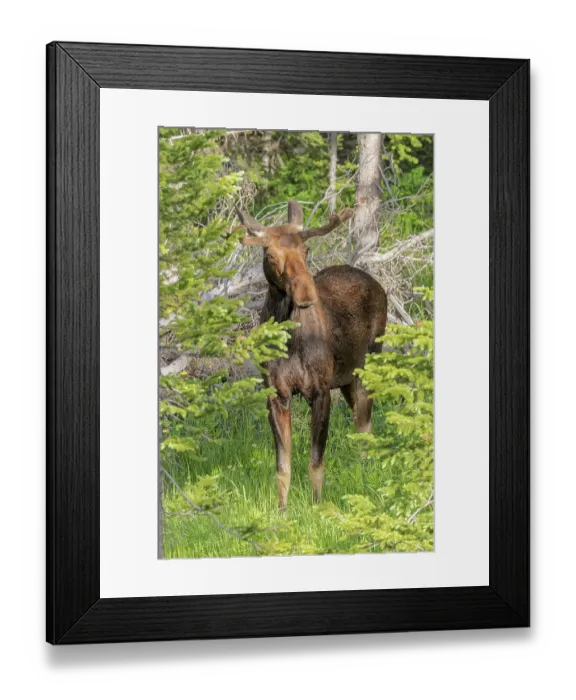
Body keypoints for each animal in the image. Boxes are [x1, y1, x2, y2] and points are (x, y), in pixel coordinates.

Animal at [237, 200, 388, 512]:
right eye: (270, 254)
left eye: (306, 250)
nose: (306, 293)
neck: (290, 341)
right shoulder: (276, 394)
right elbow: (282, 466)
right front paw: (282, 511)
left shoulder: (319, 391)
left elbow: (316, 461)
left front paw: (317, 505)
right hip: (346, 379)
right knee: (360, 425)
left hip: (368, 366)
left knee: (366, 426)